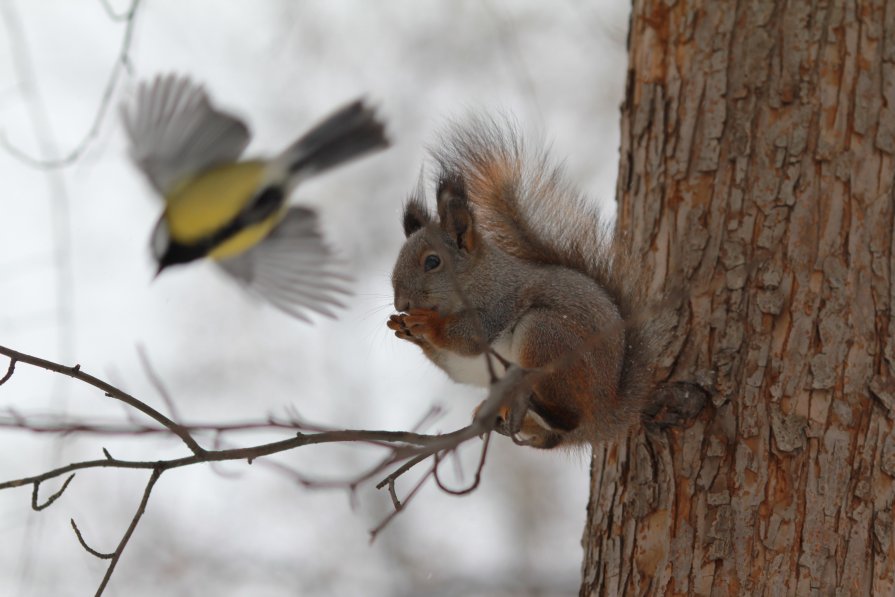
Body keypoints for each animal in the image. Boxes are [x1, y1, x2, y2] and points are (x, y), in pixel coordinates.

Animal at [386, 117, 672, 448]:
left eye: (432, 262)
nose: (402, 303)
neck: (477, 277)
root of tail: (608, 415)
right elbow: (455, 362)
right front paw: (406, 329)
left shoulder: (501, 298)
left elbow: (473, 336)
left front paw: (428, 326)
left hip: (544, 336)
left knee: (568, 417)